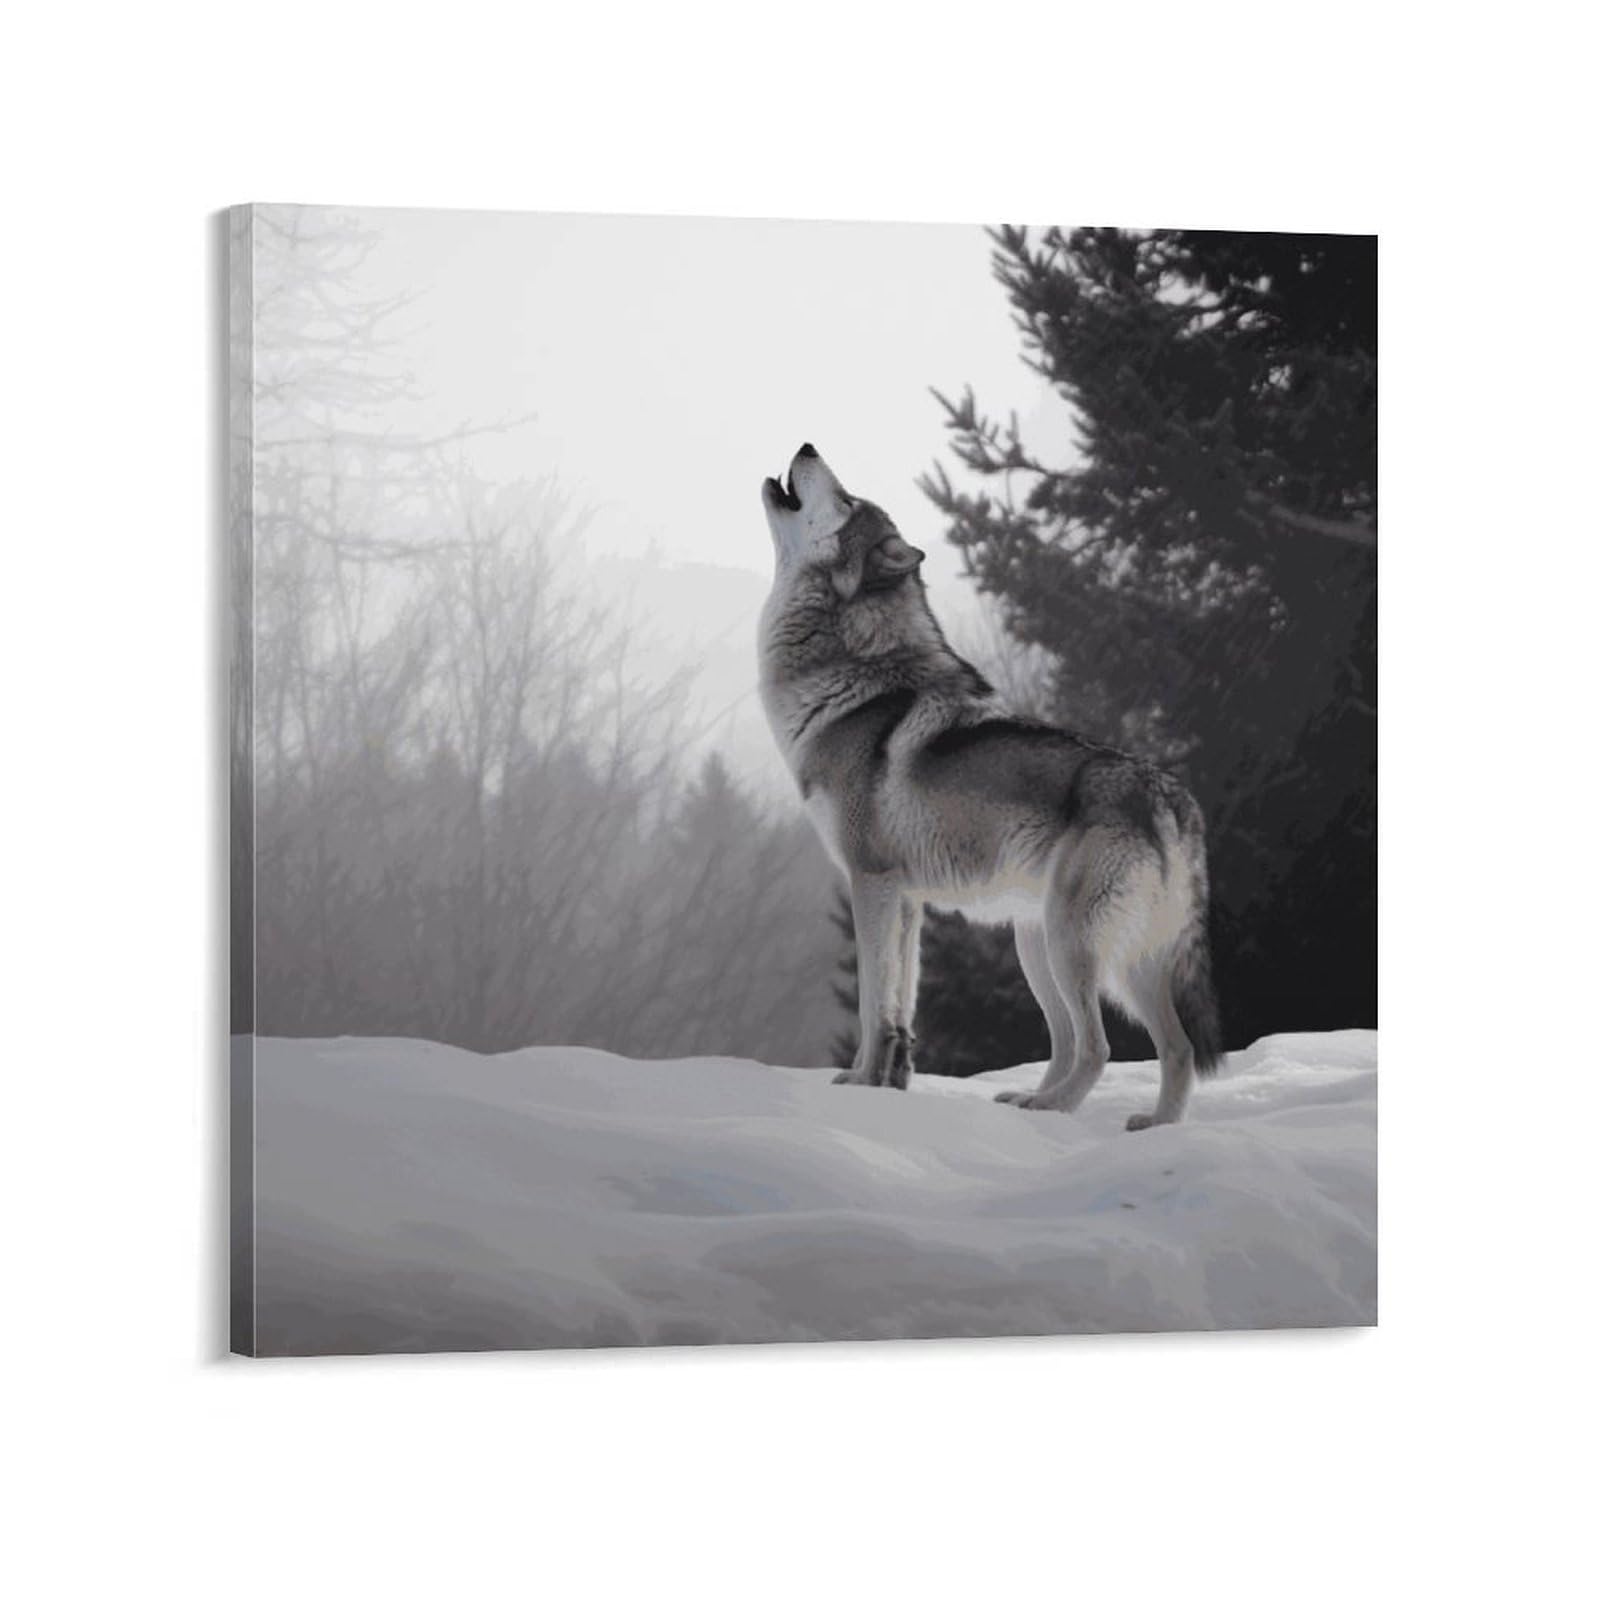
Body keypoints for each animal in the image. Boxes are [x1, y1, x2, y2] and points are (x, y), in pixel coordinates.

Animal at [758, 444, 1224, 1128]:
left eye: (845, 500)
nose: (808, 447)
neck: (853, 675)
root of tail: (1169, 794)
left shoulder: (871, 884)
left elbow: (873, 1003)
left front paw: (861, 1083)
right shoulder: (908, 901)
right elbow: (900, 1006)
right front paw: (889, 1084)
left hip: (1070, 945)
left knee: (1097, 1047)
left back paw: (1050, 1111)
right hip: (1073, 949)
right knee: (1169, 1046)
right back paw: (1140, 1125)